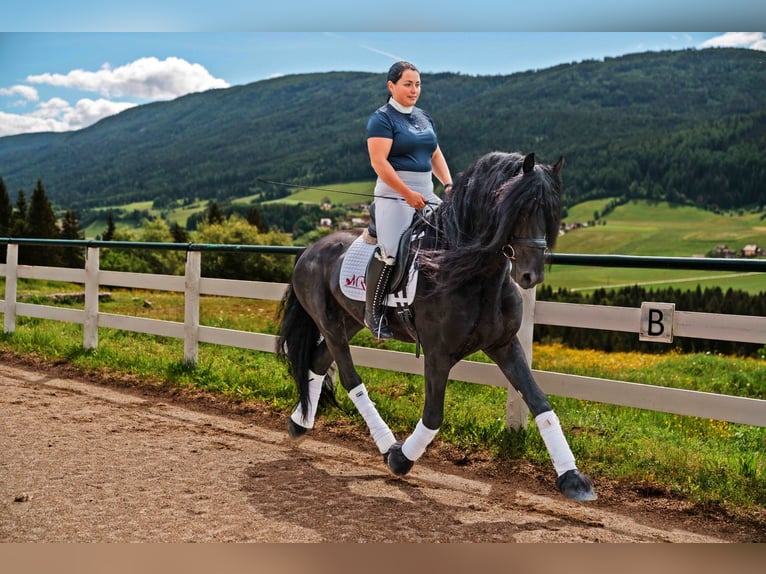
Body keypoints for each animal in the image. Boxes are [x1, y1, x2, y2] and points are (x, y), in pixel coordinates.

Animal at [280, 151, 596, 502]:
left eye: (552, 210)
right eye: (522, 207)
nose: (531, 275)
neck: (473, 274)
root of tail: (310, 249)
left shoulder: (504, 345)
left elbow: (540, 401)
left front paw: (573, 479)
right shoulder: (437, 353)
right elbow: (433, 415)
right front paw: (401, 459)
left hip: (349, 320)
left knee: (318, 360)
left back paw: (299, 423)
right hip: (330, 323)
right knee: (350, 379)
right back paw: (386, 444)